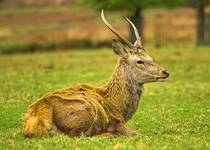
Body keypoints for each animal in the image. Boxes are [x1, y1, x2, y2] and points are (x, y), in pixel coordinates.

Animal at [22, 9, 169, 138]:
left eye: (151, 58)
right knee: (80, 136)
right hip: (85, 112)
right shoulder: (116, 122)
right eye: (139, 61)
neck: (118, 107)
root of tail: (39, 119)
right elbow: (138, 133)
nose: (165, 72)